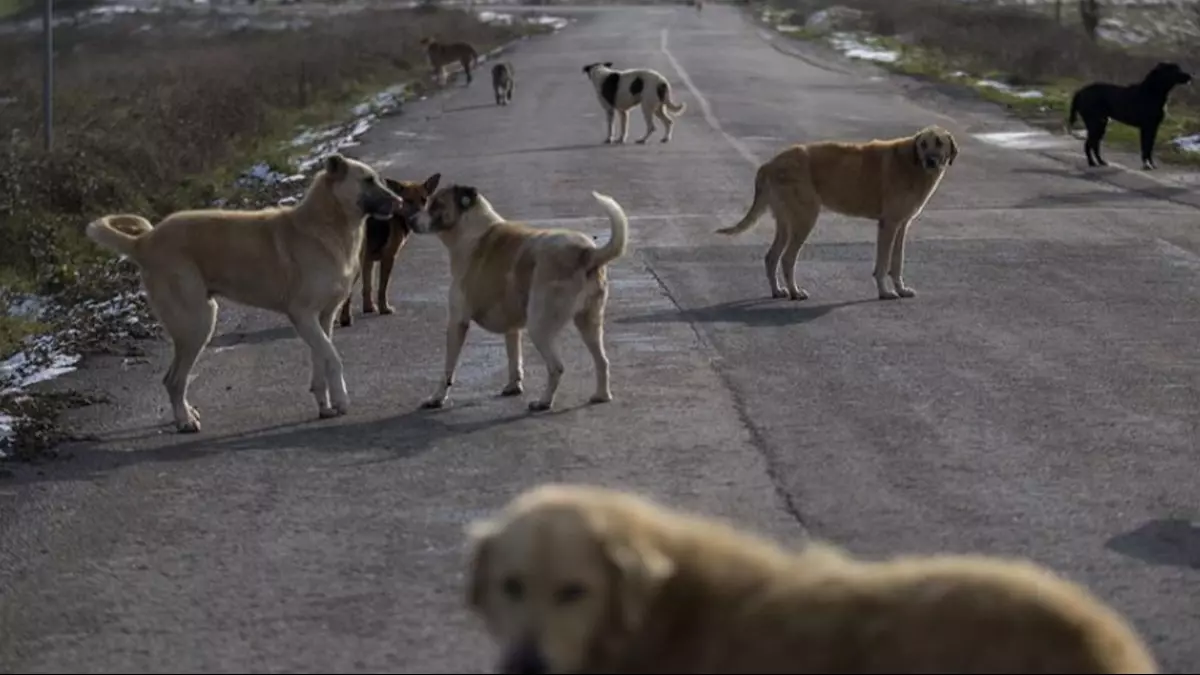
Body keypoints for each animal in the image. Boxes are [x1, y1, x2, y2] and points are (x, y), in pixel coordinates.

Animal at [85, 154, 403, 429]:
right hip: (197, 323)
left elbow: (321, 361)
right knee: (173, 379)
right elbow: (333, 358)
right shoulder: (303, 316)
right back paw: (185, 421)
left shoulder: (322, 319)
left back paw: (186, 415)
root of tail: (144, 242)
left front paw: (326, 405)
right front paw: (342, 400)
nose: (399, 201)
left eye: (378, 179)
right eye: (368, 180)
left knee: (173, 378)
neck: (326, 224)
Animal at [338, 170, 441, 326]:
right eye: (408, 200)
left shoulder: (368, 261)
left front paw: (369, 308)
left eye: (424, 200)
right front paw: (384, 309)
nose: (418, 219)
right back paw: (345, 319)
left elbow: (368, 286)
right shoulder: (388, 257)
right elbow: (382, 287)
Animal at [405, 183, 628, 410]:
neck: (471, 229)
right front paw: (514, 386)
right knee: (602, 361)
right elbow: (514, 358)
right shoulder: (511, 327)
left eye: (436, 205)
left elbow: (448, 369)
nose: (410, 221)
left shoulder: (457, 322)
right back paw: (601, 395)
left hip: (539, 327)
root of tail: (587, 252)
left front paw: (437, 397)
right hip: (589, 322)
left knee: (557, 367)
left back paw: (544, 402)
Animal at [715, 124, 960, 302]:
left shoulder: (901, 225)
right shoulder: (888, 224)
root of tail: (769, 164)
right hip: (805, 219)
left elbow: (897, 261)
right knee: (787, 258)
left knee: (771, 257)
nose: (930, 161)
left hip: (786, 222)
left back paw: (778, 291)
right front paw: (884, 292)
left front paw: (901, 289)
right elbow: (883, 264)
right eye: (923, 144)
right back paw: (795, 292)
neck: (912, 163)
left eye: (939, 143)